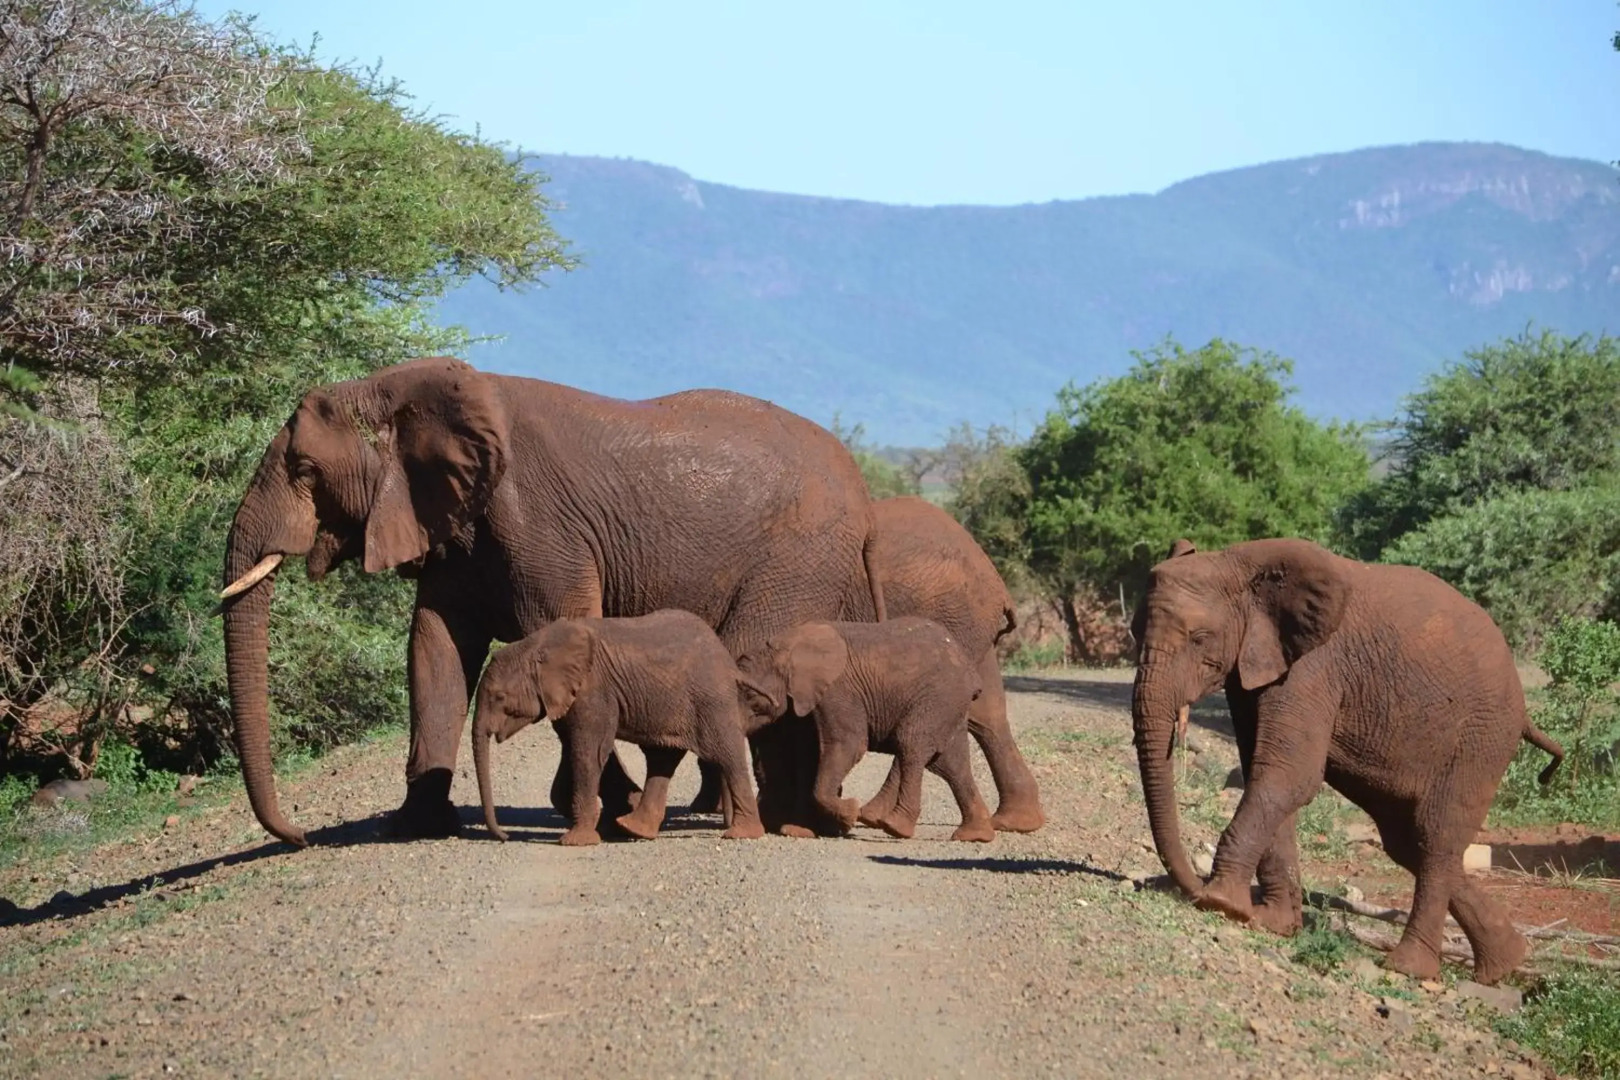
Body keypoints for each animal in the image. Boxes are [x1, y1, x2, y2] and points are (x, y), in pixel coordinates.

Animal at [472, 610, 775, 844]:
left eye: (499, 697)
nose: (504, 837)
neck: (537, 644)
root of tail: (730, 665)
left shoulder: (593, 691)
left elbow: (589, 752)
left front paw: (576, 841)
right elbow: (574, 746)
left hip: (710, 700)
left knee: (726, 756)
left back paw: (742, 834)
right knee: (663, 758)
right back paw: (633, 828)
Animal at [737, 616, 995, 842]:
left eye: (751, 696)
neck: (786, 646)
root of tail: (970, 671)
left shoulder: (838, 690)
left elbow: (849, 745)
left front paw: (849, 814)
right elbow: (811, 750)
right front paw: (804, 829)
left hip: (938, 697)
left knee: (911, 744)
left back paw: (891, 825)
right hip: (950, 704)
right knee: (950, 763)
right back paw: (974, 835)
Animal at [1130, 537, 1564, 986]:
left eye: (1200, 638)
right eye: (1133, 631)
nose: (1192, 888)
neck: (1238, 563)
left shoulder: (1313, 668)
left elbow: (1288, 776)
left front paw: (1221, 904)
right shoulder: (1258, 666)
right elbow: (1264, 772)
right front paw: (1271, 923)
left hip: (1482, 737)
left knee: (1437, 836)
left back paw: (1409, 968)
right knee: (1406, 842)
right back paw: (1505, 963)